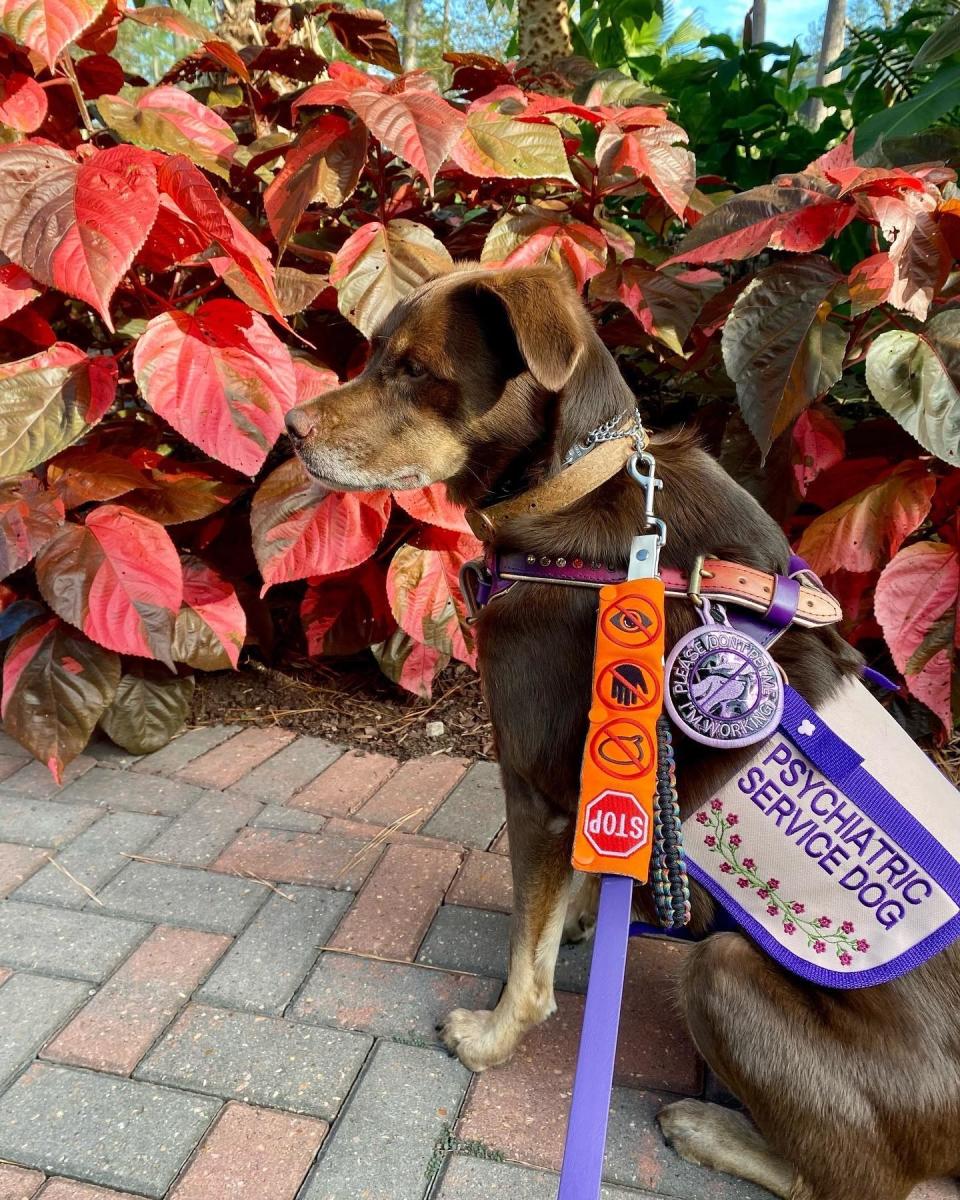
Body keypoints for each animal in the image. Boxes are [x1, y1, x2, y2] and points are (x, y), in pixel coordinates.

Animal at [285, 265, 960, 1200]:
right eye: (378, 353)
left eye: (415, 370)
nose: (289, 428)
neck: (574, 486)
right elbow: (578, 876)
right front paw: (584, 914)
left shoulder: (531, 779)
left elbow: (527, 962)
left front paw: (490, 1039)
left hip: (722, 975)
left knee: (845, 1183)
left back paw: (708, 1128)